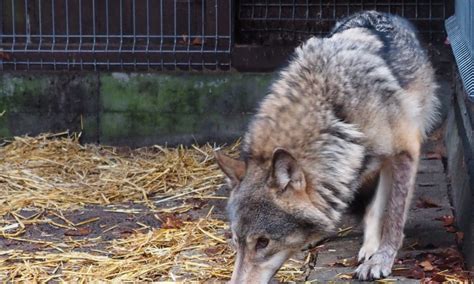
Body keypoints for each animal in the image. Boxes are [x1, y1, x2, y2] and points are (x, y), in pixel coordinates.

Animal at [217, 10, 438, 282]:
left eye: (263, 242)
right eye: (236, 240)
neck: (333, 111)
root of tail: (379, 13)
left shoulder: (407, 149)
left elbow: (394, 218)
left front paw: (382, 259)